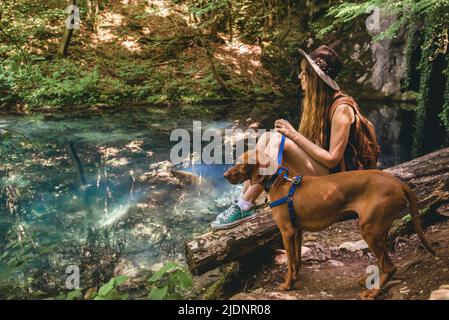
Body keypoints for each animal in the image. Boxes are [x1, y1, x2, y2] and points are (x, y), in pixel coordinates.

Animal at [224, 150, 434, 300]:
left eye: (240, 162)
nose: (225, 175)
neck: (279, 181)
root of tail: (397, 182)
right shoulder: (297, 231)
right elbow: (297, 260)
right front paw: (294, 279)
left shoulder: (287, 231)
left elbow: (289, 262)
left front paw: (286, 285)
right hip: (379, 227)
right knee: (384, 260)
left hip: (369, 229)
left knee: (390, 267)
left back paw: (373, 292)